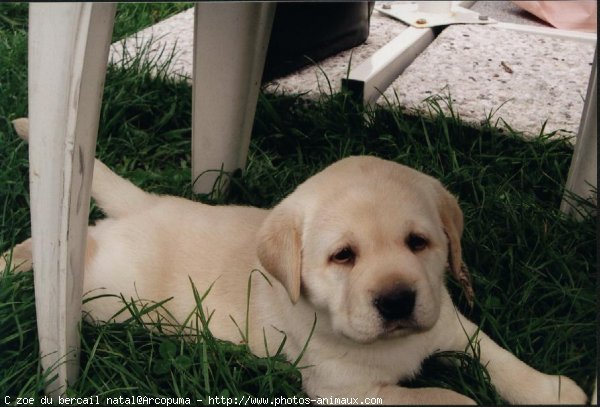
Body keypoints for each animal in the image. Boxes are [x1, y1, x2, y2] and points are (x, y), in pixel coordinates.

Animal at [3, 118, 584, 404]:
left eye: (419, 243)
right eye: (343, 256)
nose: (397, 301)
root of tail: (146, 204)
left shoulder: (447, 323)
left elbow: (497, 356)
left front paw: (551, 391)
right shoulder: (347, 392)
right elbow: (447, 398)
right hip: (108, 291)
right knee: (73, 249)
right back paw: (15, 261)